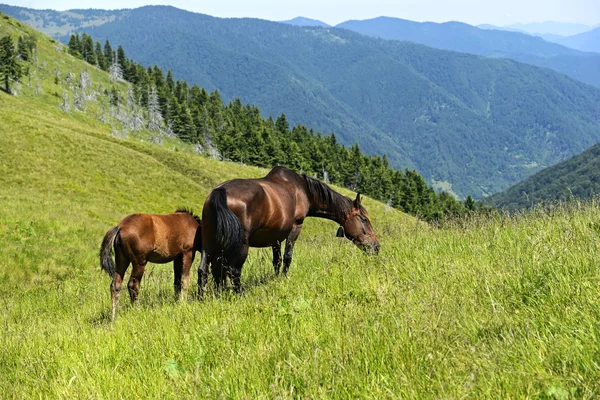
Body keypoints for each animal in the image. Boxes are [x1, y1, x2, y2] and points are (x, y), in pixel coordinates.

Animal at [198, 166, 380, 294]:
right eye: (364, 219)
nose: (376, 247)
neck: (302, 189)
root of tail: (219, 192)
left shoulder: (275, 237)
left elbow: (276, 261)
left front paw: (276, 278)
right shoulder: (295, 228)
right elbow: (287, 257)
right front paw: (284, 278)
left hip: (209, 242)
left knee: (204, 269)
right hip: (240, 244)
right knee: (233, 270)